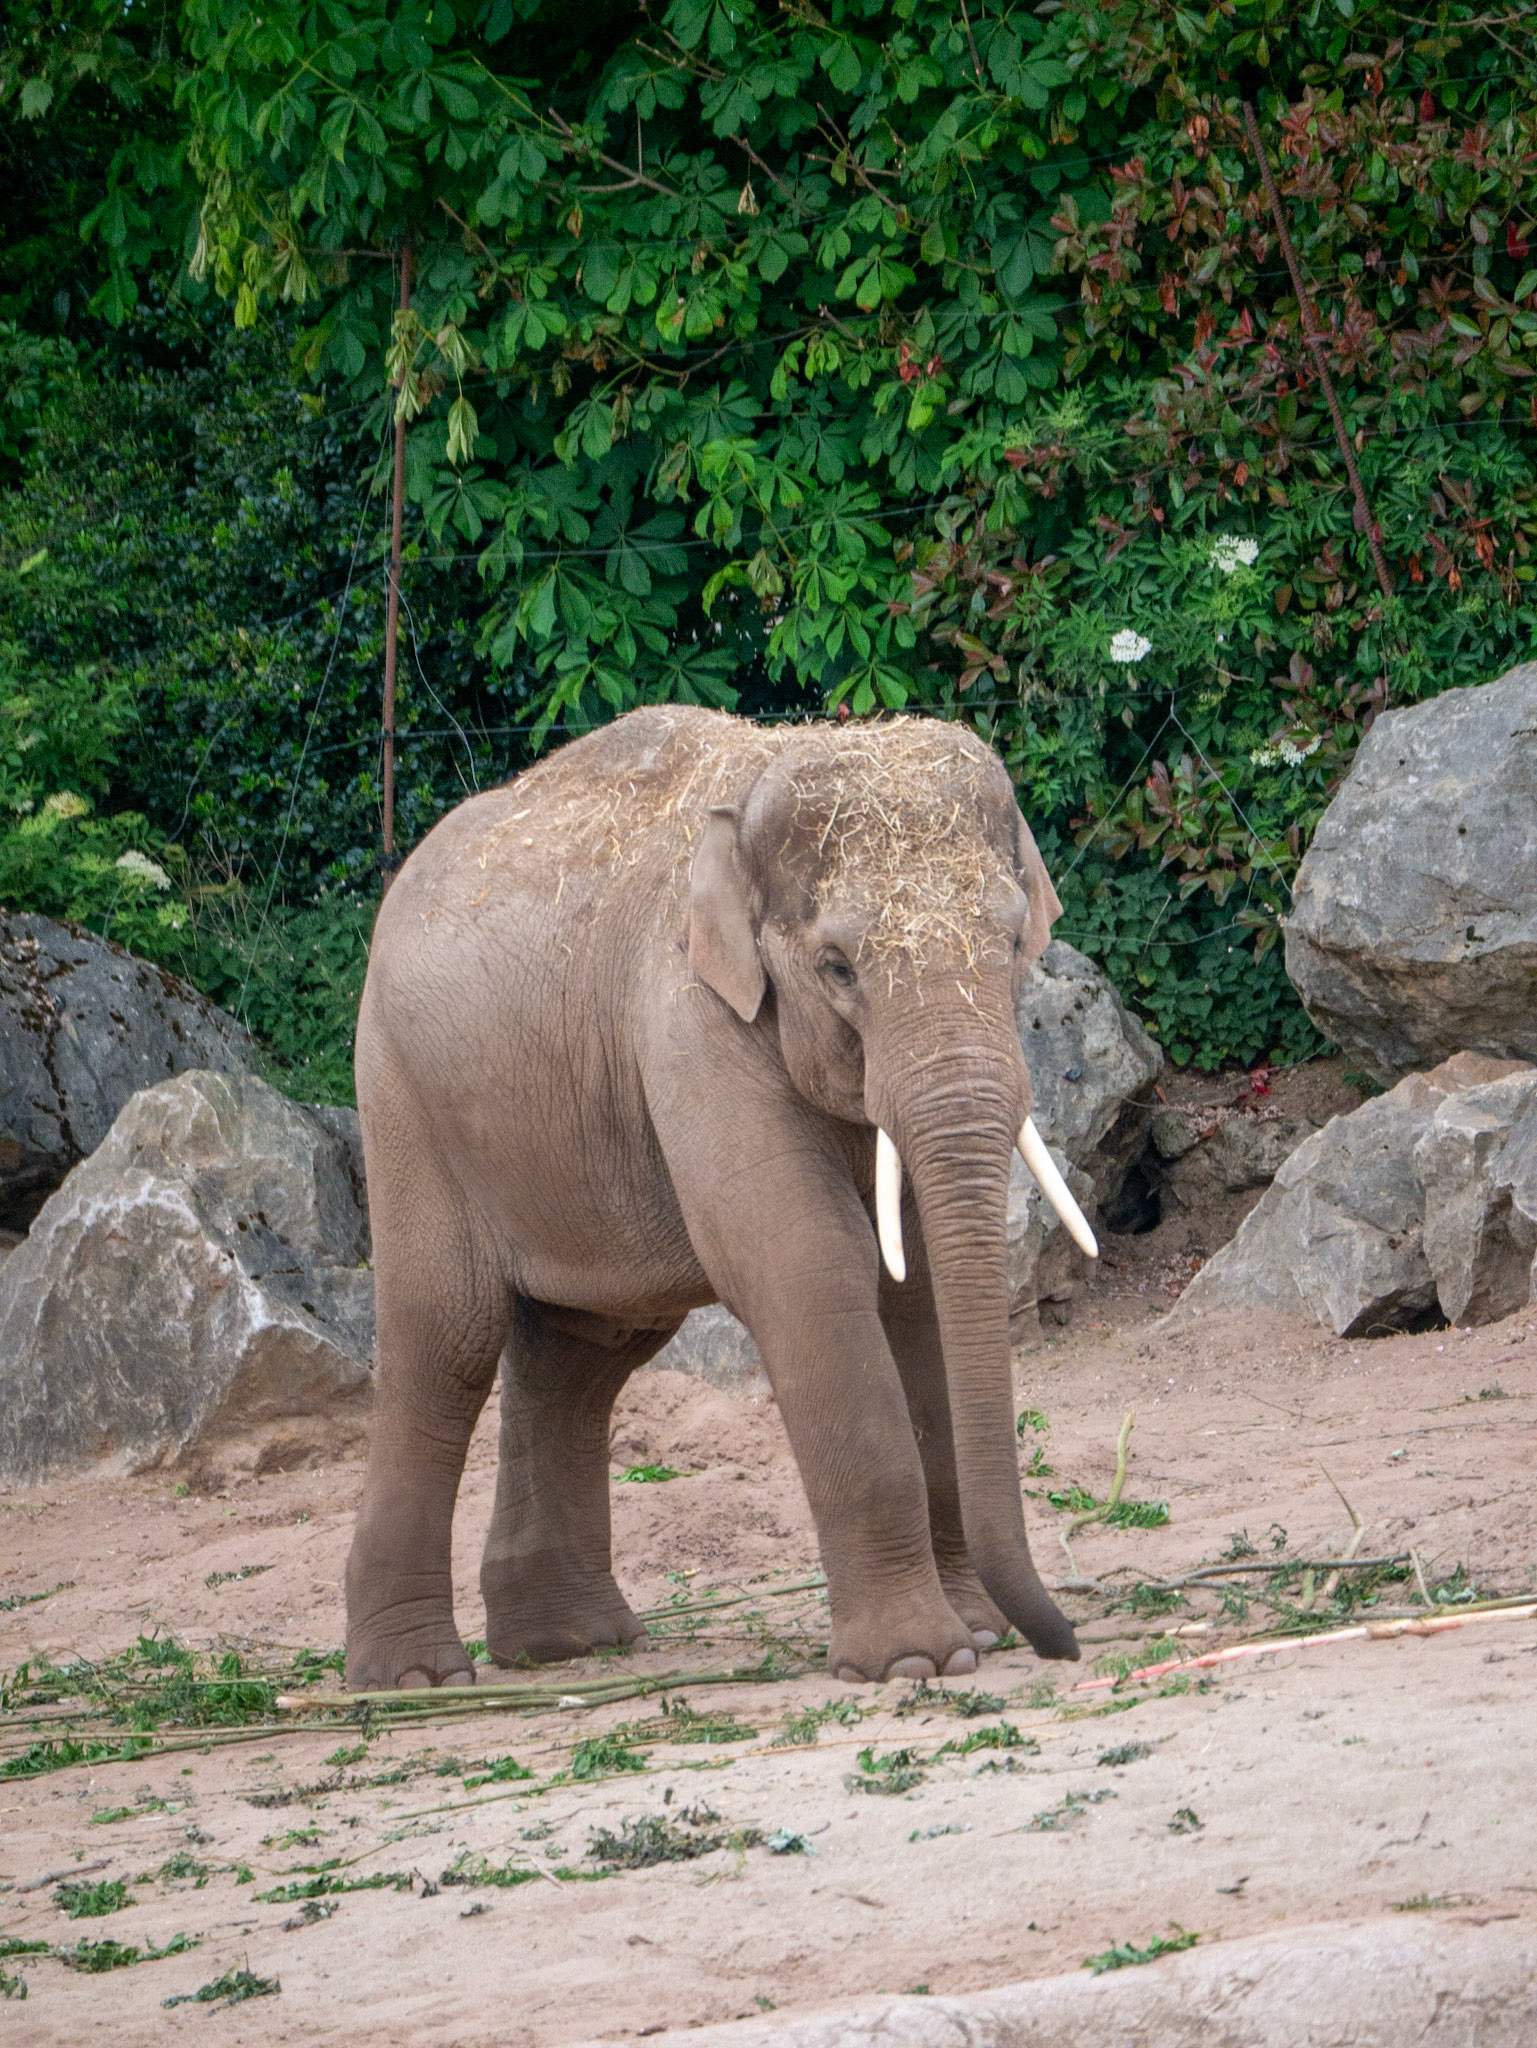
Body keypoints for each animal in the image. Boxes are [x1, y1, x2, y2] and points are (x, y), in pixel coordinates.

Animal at [345, 705, 1097, 1692]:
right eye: (836, 967)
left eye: (1012, 946)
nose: (1064, 1643)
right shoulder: (689, 1016)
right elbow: (806, 1264)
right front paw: (916, 1661)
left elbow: (918, 1288)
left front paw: (975, 1632)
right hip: (402, 1097)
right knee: (447, 1338)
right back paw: (413, 1680)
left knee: (581, 1352)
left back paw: (570, 1645)